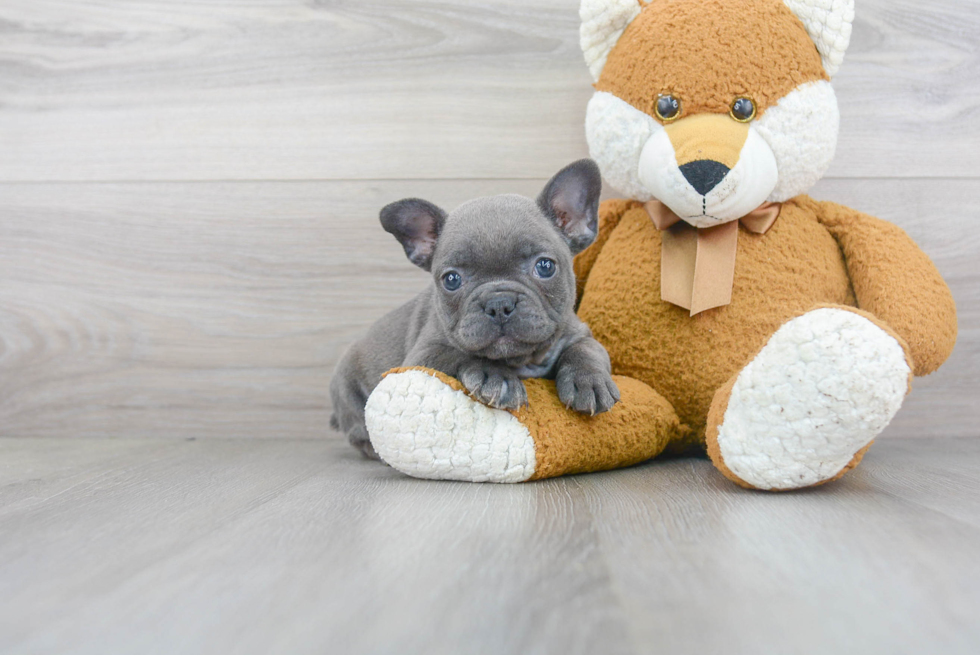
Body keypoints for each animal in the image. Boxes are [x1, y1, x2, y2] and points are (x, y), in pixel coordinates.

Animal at [330, 160, 620, 458]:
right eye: (451, 279)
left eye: (545, 266)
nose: (499, 303)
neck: (520, 360)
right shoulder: (423, 356)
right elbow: (459, 355)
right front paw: (495, 377)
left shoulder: (578, 333)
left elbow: (586, 351)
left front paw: (588, 381)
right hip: (348, 388)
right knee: (358, 428)